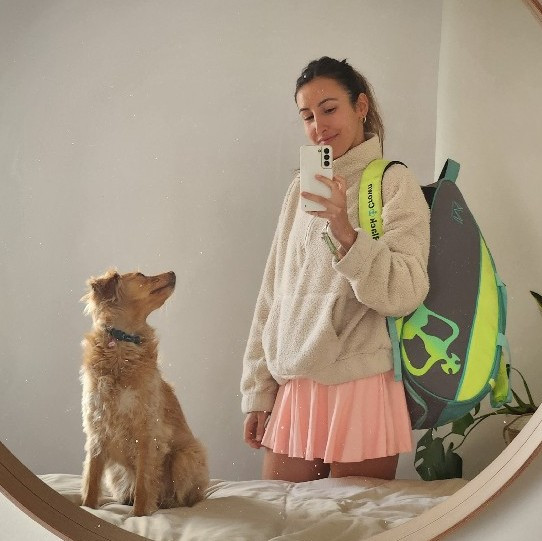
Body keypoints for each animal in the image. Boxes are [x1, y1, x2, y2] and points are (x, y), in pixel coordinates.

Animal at [80, 269, 209, 516]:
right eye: (141, 275)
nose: (173, 272)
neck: (122, 345)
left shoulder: (147, 435)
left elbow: (143, 484)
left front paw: (139, 515)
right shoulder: (97, 430)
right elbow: (91, 480)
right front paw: (87, 508)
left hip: (185, 457)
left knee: (186, 498)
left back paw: (166, 504)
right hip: (117, 472)